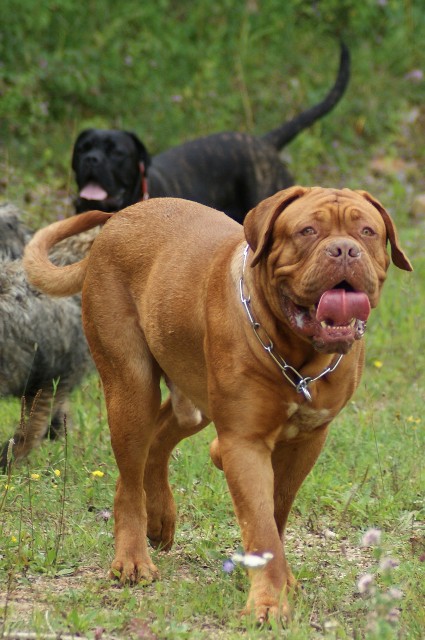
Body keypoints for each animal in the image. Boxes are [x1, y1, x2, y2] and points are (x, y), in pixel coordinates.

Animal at [22, 188, 410, 624]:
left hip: (194, 401)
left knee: (158, 441)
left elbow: (276, 512)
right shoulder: (244, 441)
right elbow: (261, 525)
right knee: (130, 477)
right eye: (307, 231)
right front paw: (268, 603)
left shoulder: (307, 441)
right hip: (131, 387)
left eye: (367, 232)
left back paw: (161, 516)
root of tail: (115, 224)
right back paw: (133, 558)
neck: (298, 357)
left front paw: (280, 581)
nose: (344, 249)